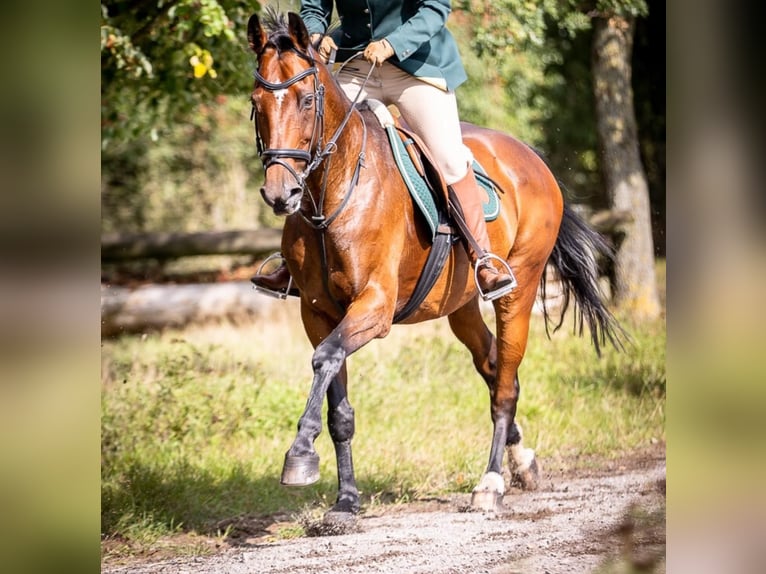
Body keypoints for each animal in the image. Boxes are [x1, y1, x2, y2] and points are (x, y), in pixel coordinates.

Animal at [246, 10, 624, 520]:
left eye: (307, 100)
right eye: (256, 103)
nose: (279, 193)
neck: (335, 191)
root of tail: (529, 155)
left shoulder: (374, 308)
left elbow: (325, 357)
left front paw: (300, 456)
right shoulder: (317, 313)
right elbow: (337, 401)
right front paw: (346, 501)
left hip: (520, 292)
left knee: (505, 385)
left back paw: (491, 483)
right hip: (460, 305)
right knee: (493, 366)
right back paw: (522, 462)